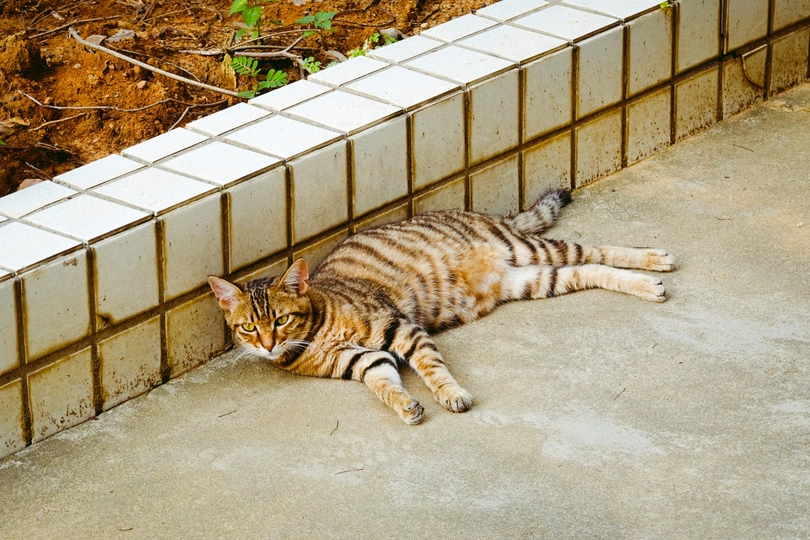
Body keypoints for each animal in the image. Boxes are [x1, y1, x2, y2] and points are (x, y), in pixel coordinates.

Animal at [208, 189, 674, 424]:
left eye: (281, 320)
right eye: (248, 327)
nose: (267, 345)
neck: (317, 336)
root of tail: (493, 219)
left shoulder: (399, 328)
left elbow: (433, 369)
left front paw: (451, 394)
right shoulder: (363, 360)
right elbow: (384, 385)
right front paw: (405, 405)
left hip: (531, 250)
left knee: (596, 249)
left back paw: (652, 262)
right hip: (534, 279)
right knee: (590, 268)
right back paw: (646, 283)